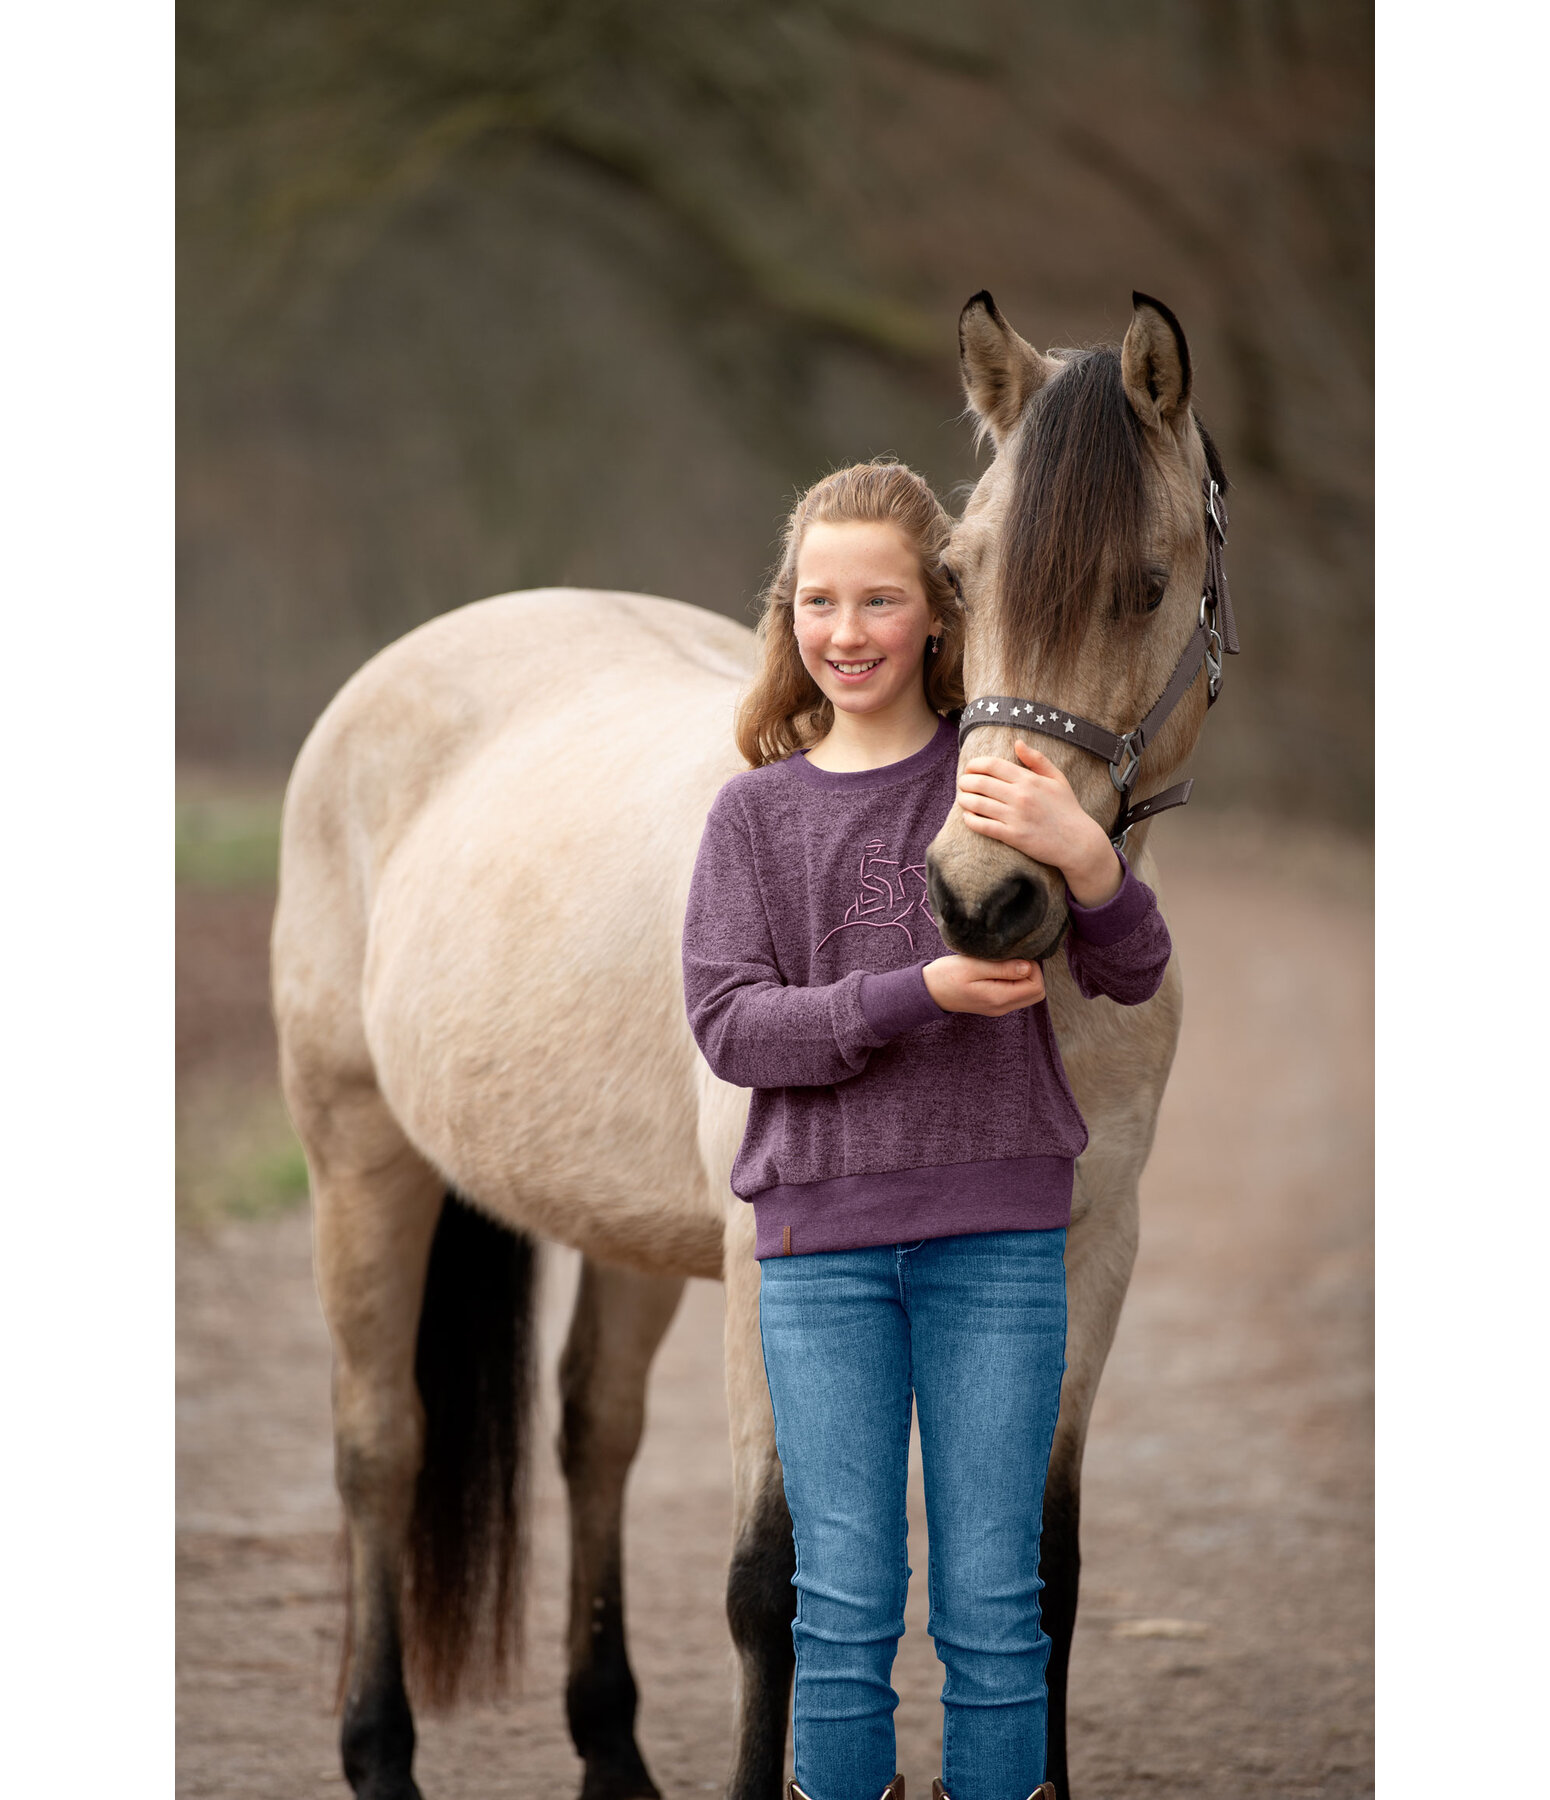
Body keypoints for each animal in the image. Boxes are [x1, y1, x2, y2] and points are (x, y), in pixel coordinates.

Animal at [268, 288, 1231, 1792]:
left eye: (1143, 583)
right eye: (964, 575)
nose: (988, 899)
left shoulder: (1087, 1251)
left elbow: (1040, 1564)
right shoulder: (770, 1266)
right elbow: (771, 1576)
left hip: (617, 1221)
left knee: (593, 1432)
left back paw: (613, 1756)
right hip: (358, 1152)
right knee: (380, 1442)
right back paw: (379, 1755)